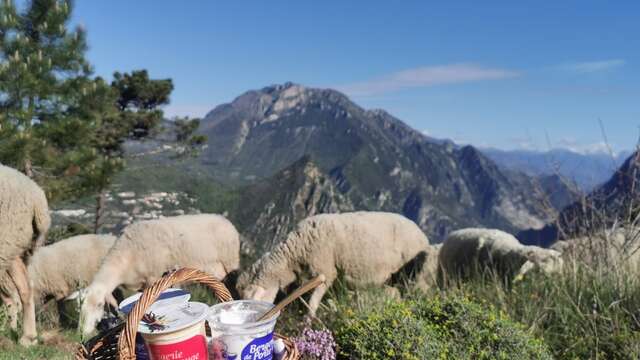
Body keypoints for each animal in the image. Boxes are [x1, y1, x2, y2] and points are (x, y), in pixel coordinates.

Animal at [0, 165, 50, 344]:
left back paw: (26, 337)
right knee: (24, 289)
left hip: (6, 241)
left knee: (20, 291)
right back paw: (26, 336)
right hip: (14, 247)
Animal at [79, 214, 240, 334]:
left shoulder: (153, 276)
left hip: (230, 263)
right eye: (81, 308)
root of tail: (224, 220)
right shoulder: (141, 284)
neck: (124, 258)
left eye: (99, 305)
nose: (85, 332)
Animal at [236, 211, 430, 316]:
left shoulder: (326, 272)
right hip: (394, 279)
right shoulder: (331, 280)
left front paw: (307, 325)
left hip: (410, 275)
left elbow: (312, 304)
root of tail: (422, 234)